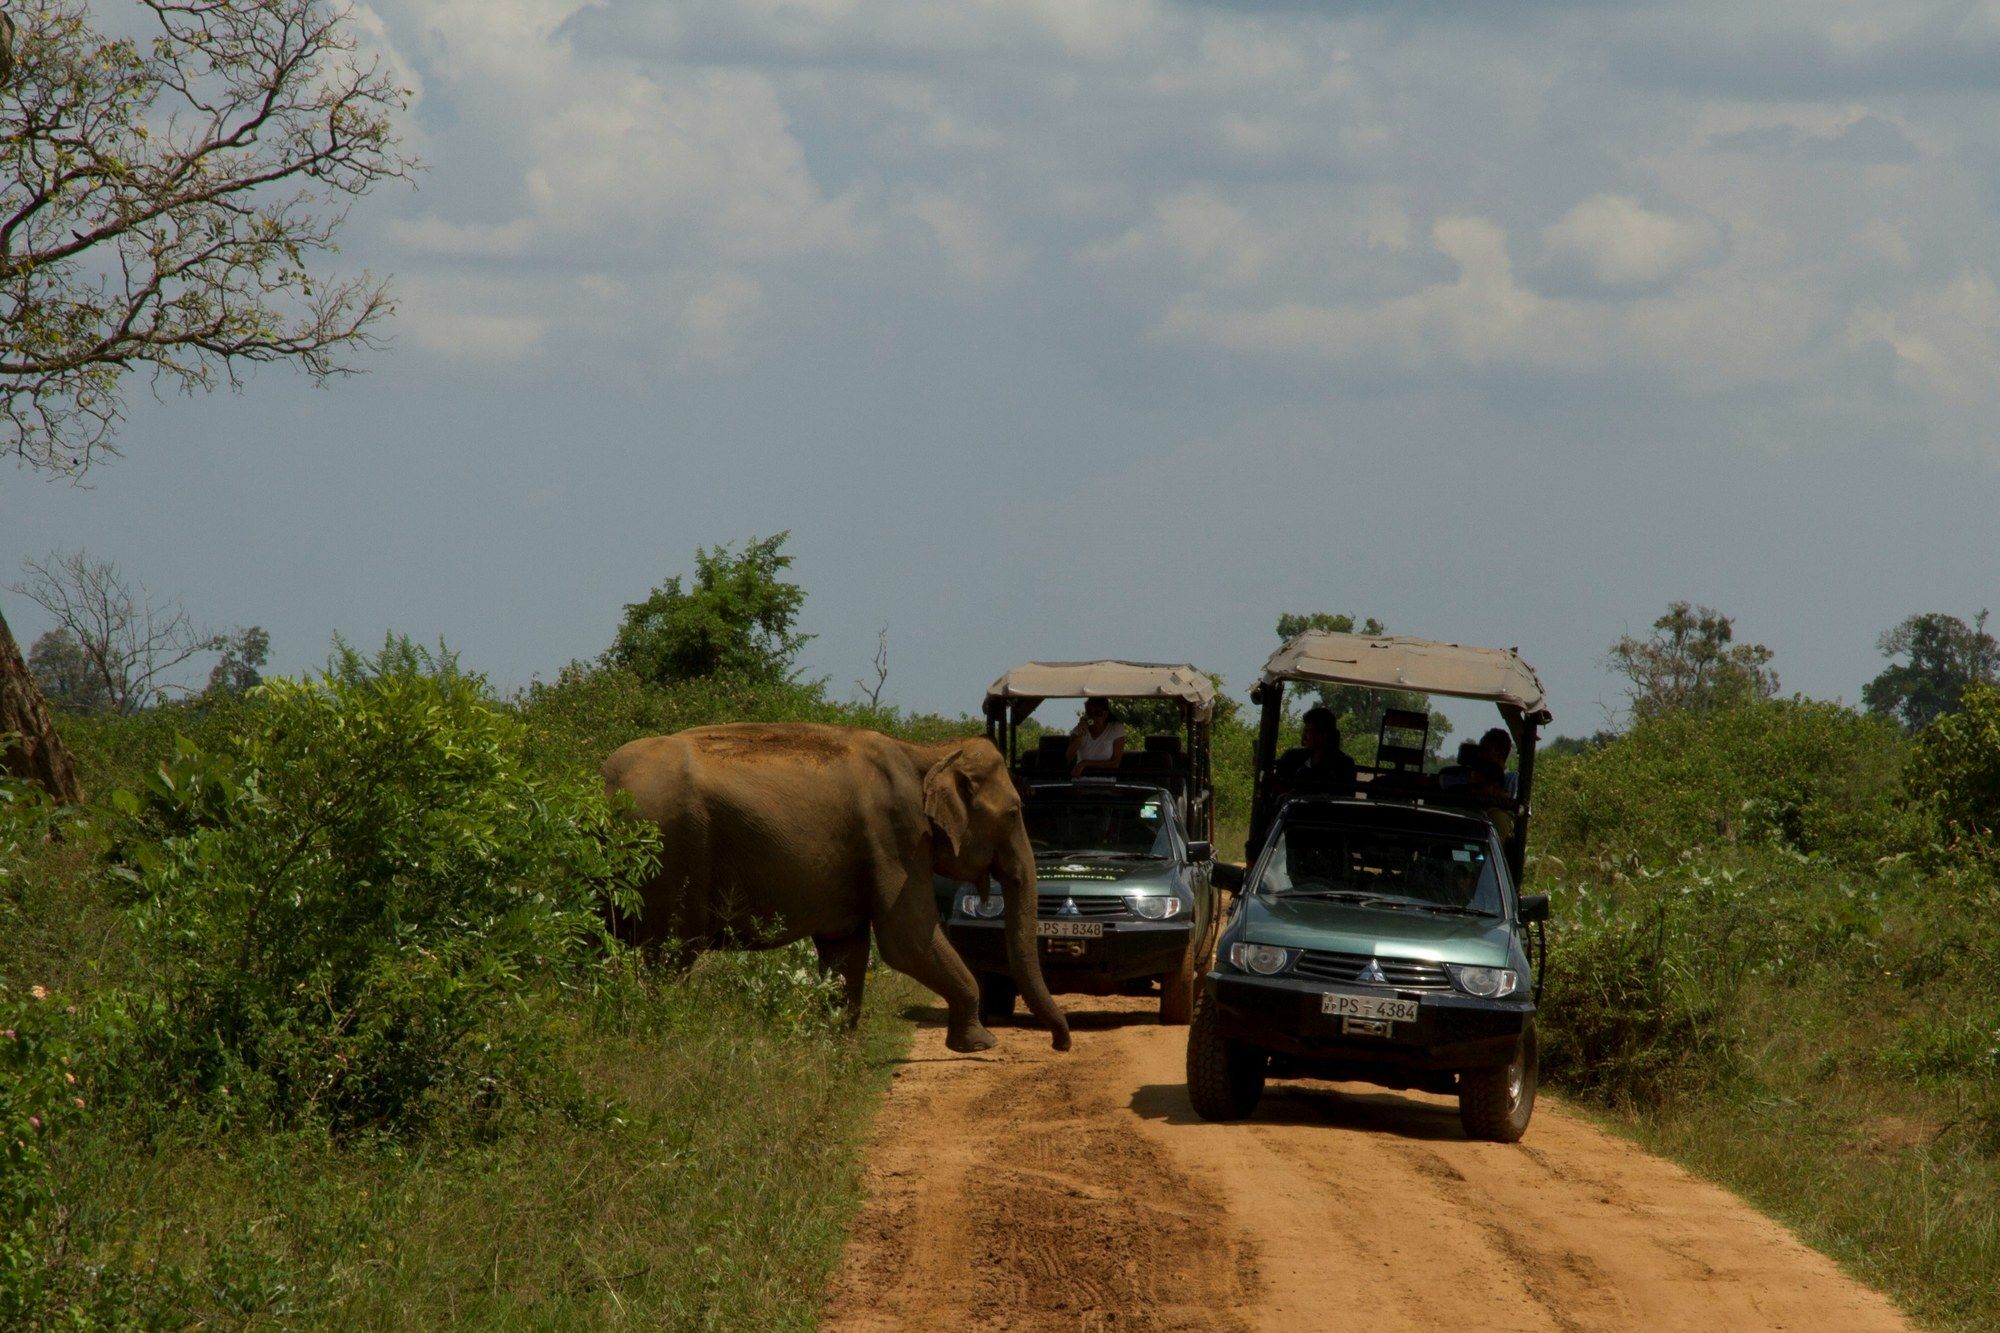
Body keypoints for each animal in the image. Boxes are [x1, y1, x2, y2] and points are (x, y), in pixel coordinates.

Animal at [600, 716, 1072, 1048]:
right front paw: (979, 1045)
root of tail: (604, 784)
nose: (1061, 1044)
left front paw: (836, 1047)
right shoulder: (895, 835)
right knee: (670, 955)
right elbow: (907, 940)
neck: (927, 752)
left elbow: (845, 947)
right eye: (1014, 812)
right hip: (671, 853)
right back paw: (658, 1033)